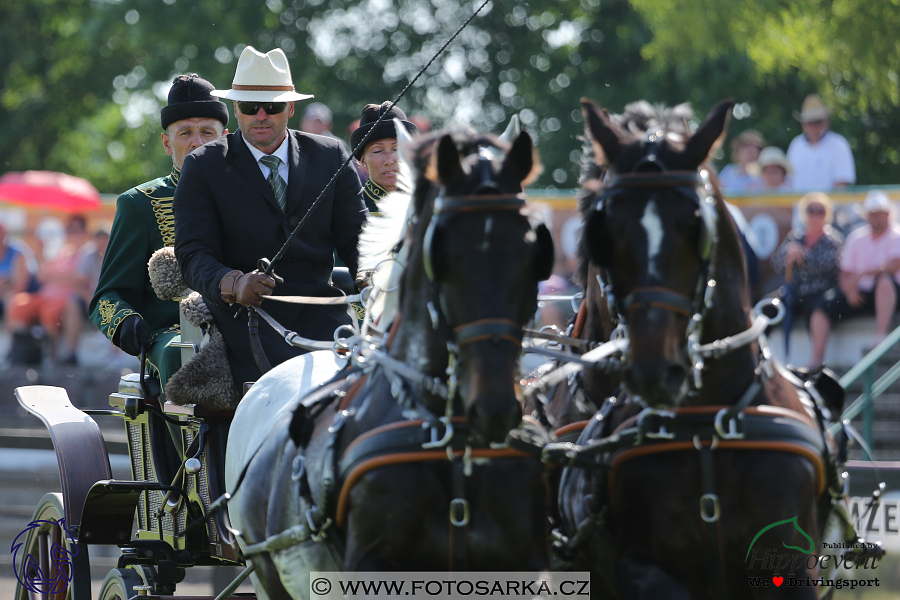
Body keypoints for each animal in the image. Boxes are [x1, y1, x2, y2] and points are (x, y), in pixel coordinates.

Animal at [232, 124, 556, 592]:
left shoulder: (528, 563)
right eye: (440, 255)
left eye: (534, 253)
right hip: (265, 571)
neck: (452, 435)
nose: (494, 406)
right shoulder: (373, 566)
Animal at [552, 99, 840, 600]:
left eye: (696, 228)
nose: (654, 368)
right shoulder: (637, 564)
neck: (708, 419)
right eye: (602, 232)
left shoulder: (792, 565)